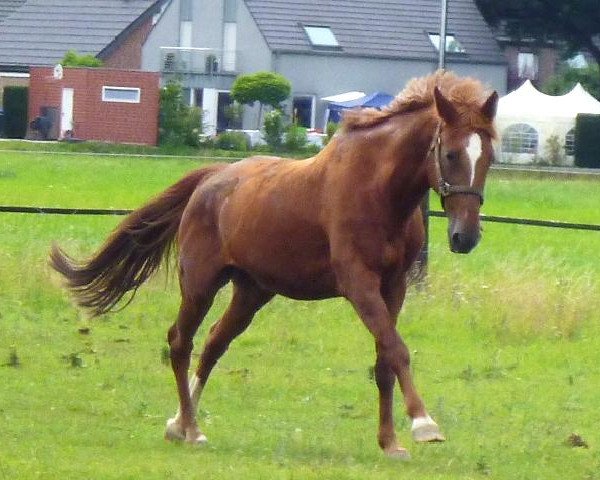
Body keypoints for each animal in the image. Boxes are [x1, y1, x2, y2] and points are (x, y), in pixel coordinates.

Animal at [51, 70, 500, 458]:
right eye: (450, 153)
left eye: (489, 157)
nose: (465, 237)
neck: (377, 189)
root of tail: (211, 179)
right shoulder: (359, 284)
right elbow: (397, 349)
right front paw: (424, 425)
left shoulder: (394, 286)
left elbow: (385, 360)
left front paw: (390, 443)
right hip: (200, 284)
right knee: (181, 342)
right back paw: (192, 429)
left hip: (252, 292)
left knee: (212, 344)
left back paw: (179, 423)